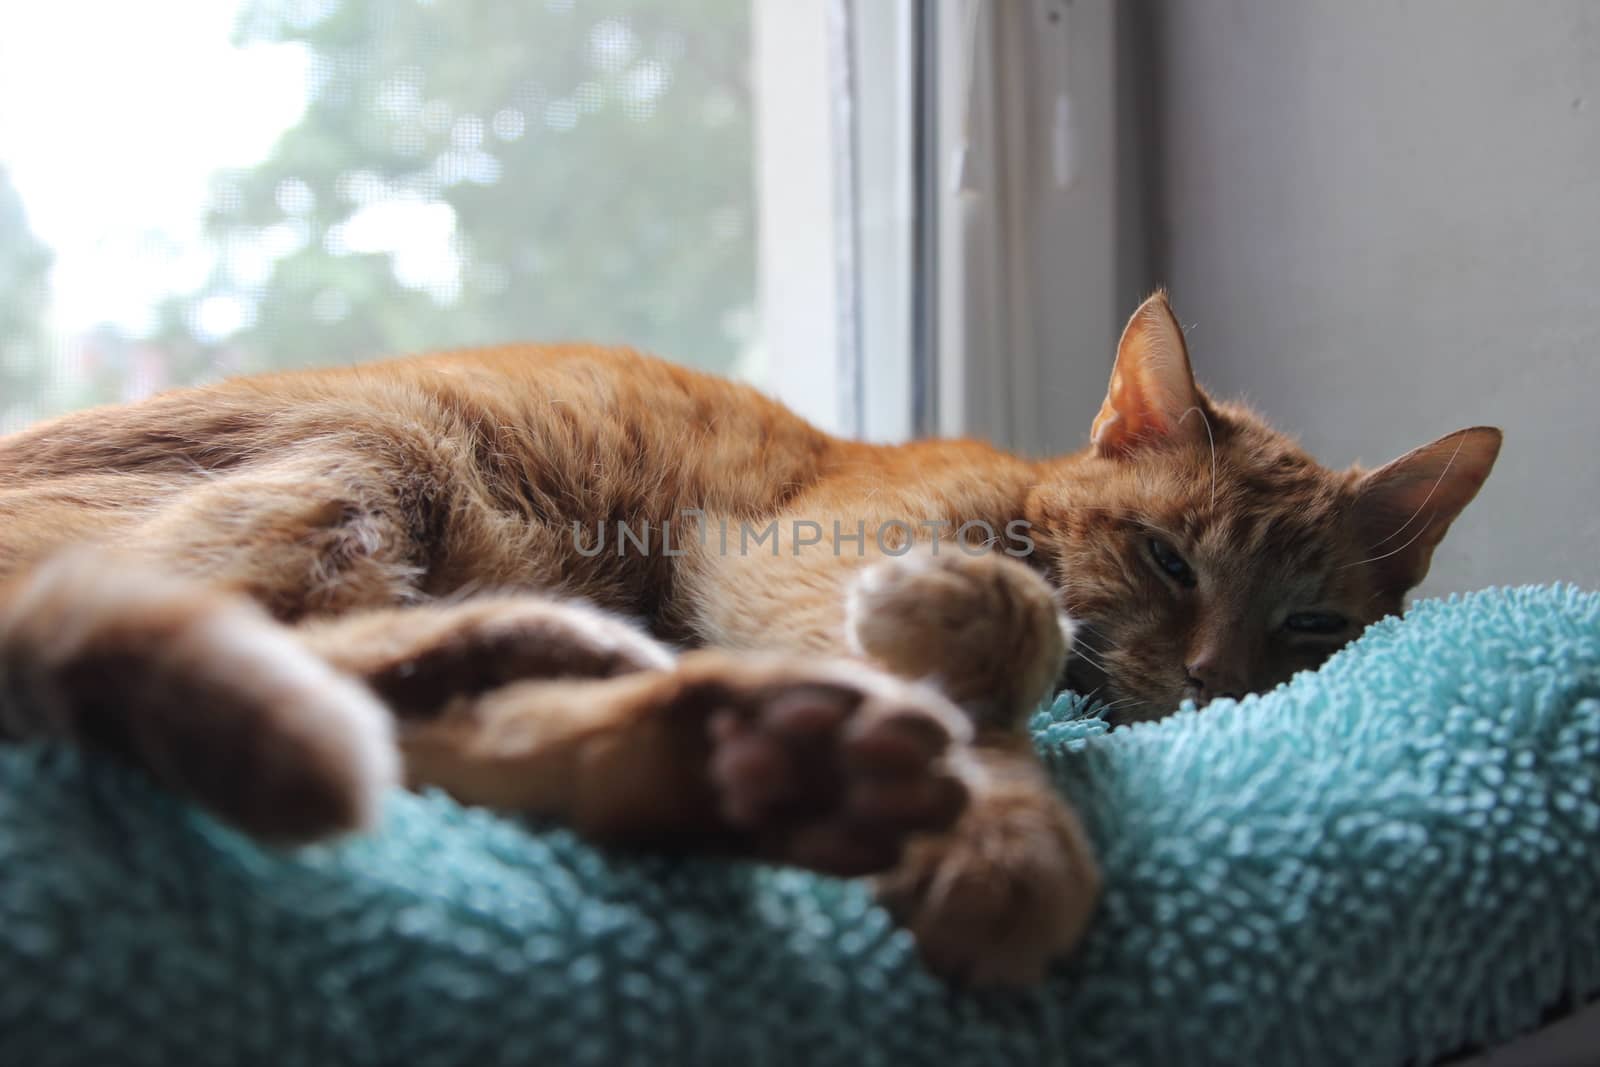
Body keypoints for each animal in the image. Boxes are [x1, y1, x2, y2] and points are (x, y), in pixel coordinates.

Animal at [0, 292, 1491, 985]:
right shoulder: (791, 563)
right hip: (374, 462)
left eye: (1309, 623)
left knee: (420, 728)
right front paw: (1006, 837)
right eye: (1171, 557)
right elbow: (997, 673)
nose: (1214, 678)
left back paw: (721, 746)